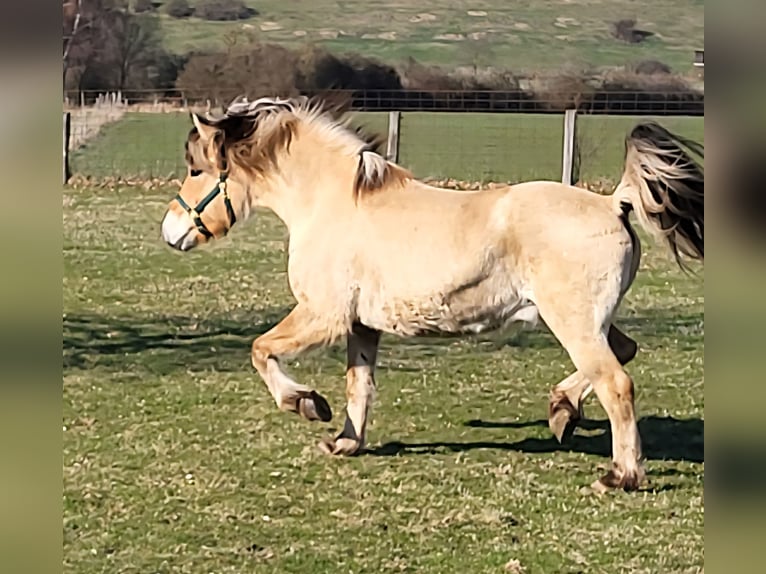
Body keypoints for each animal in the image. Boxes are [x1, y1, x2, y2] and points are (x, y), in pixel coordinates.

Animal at [160, 95, 703, 492]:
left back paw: (621, 475)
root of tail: (614, 203)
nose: (170, 231)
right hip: (591, 322)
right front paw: (345, 442)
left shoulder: (322, 315)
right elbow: (360, 385)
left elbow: (261, 350)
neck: (331, 204)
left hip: (573, 323)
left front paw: (307, 404)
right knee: (624, 352)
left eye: (195, 169)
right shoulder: (361, 326)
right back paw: (561, 411)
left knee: (617, 383)